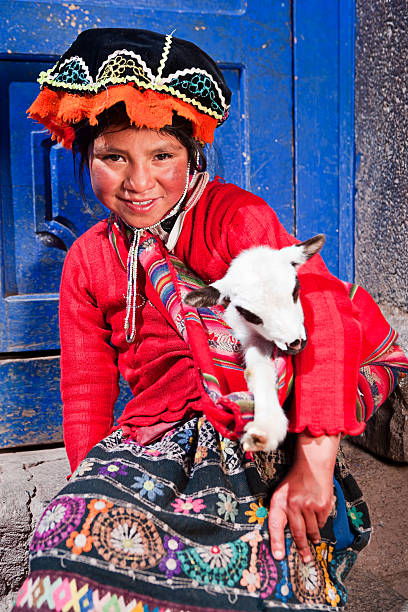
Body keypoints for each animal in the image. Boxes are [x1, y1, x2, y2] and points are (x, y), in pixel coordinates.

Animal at [184, 234, 326, 454]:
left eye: (296, 291)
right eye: (249, 315)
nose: (295, 343)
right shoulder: (246, 332)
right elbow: (258, 369)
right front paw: (267, 427)